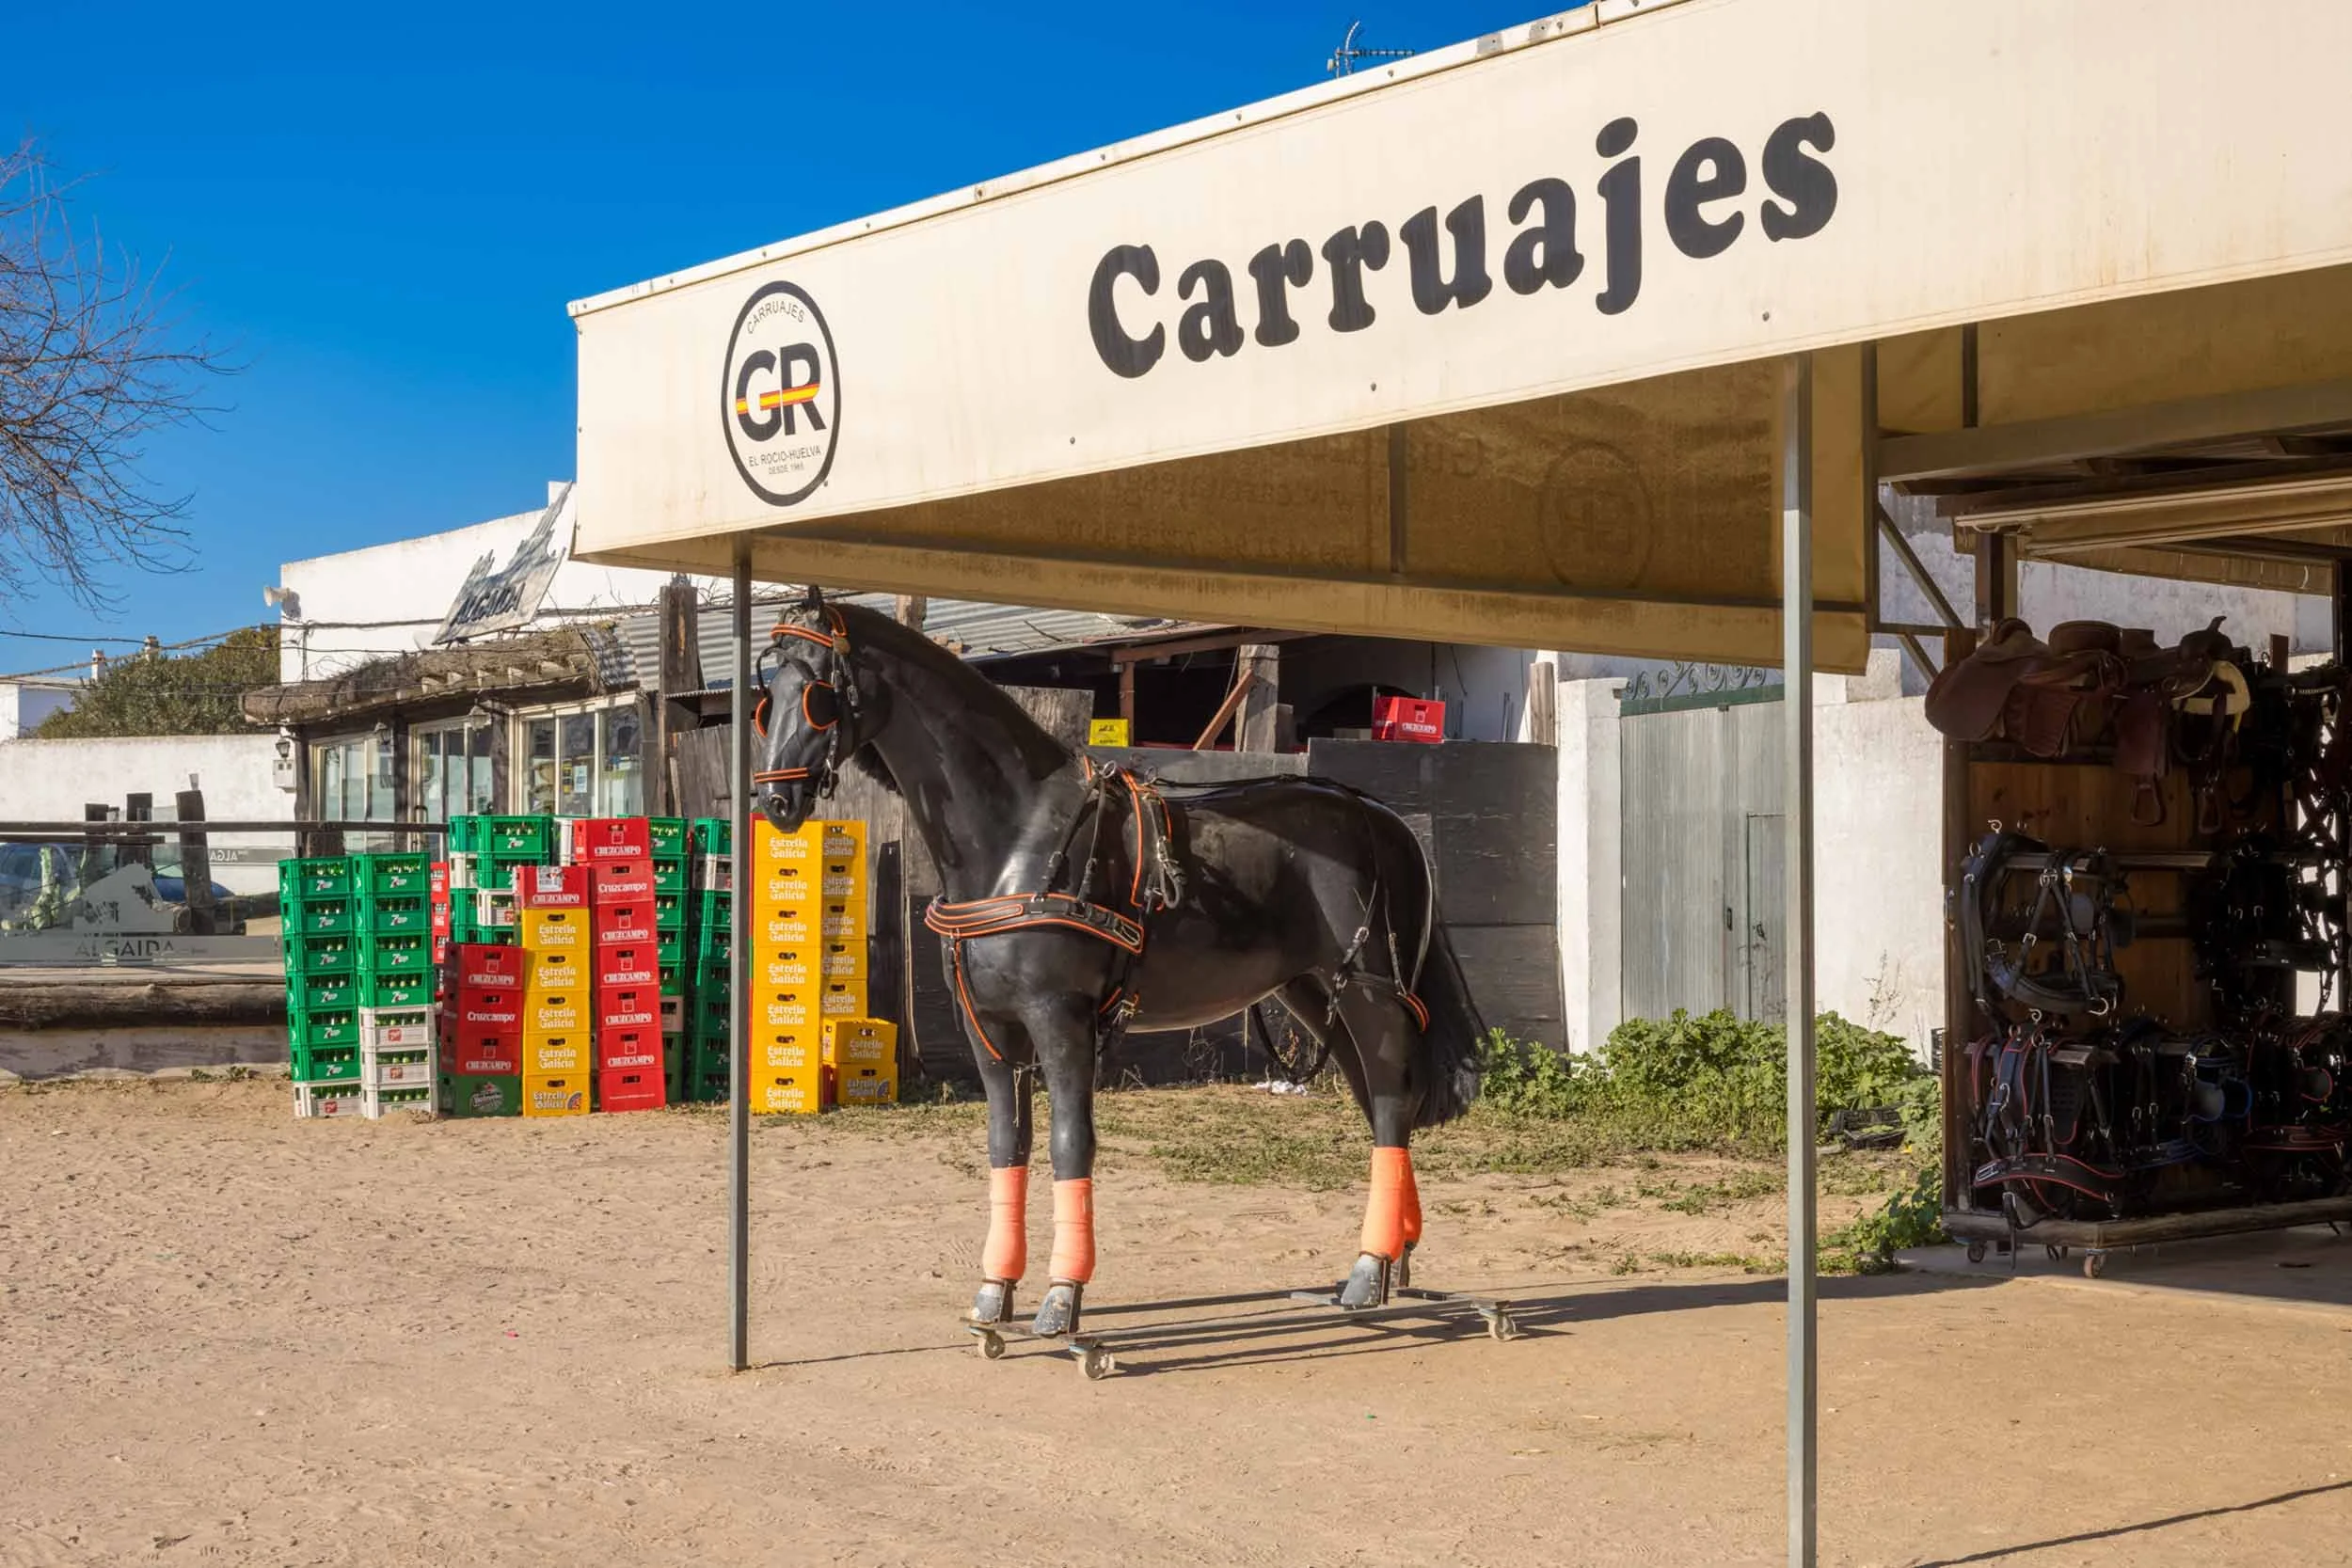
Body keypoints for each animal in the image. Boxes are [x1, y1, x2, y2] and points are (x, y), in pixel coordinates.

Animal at [752, 596, 1486, 1338]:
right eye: (767, 699)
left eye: (816, 695)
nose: (774, 802)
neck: (1019, 837)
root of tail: (1381, 817)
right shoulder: (988, 1027)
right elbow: (1005, 1144)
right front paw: (995, 1290)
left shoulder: (1060, 1019)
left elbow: (1070, 1143)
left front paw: (1061, 1296)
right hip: (1312, 991)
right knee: (1380, 1099)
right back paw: (1393, 1261)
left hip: (1369, 993)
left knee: (1390, 1099)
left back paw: (1371, 1268)